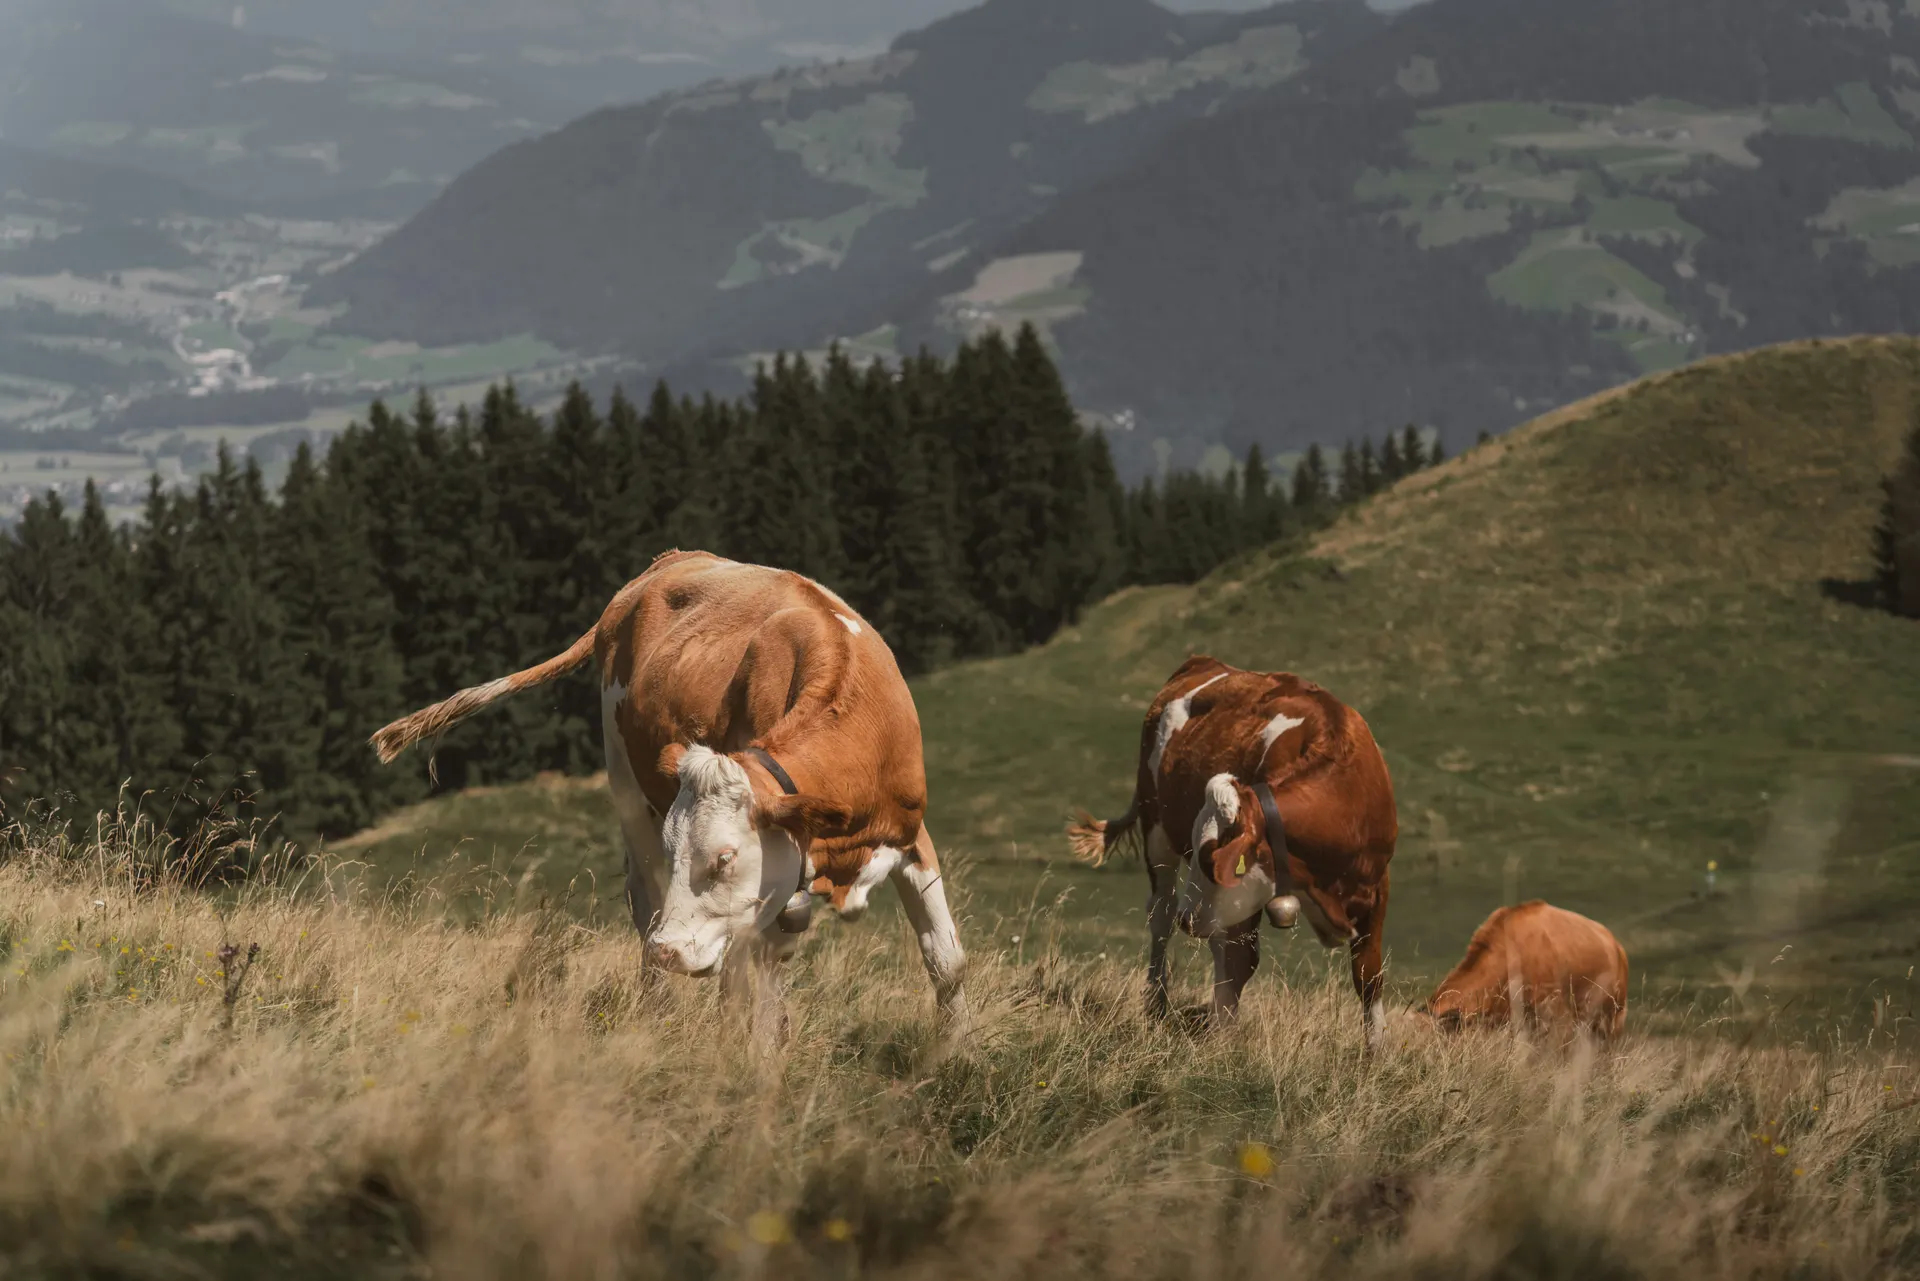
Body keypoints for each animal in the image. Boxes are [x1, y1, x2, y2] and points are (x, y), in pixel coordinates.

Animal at [369, 549, 968, 1035]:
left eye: (725, 858)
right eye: (680, 851)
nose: (670, 951)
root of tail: (663, 565)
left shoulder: (910, 835)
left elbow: (946, 961)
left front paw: (952, 1056)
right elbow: (752, 978)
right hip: (625, 785)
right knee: (647, 900)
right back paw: (656, 1010)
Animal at [1068, 656, 1397, 1047]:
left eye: (1214, 862)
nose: (1189, 919)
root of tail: (1202, 662)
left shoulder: (1377, 886)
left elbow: (1368, 973)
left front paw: (1375, 1052)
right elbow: (1241, 961)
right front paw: (1222, 1044)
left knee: (1215, 942)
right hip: (1156, 829)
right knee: (1162, 914)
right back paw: (1156, 1002)